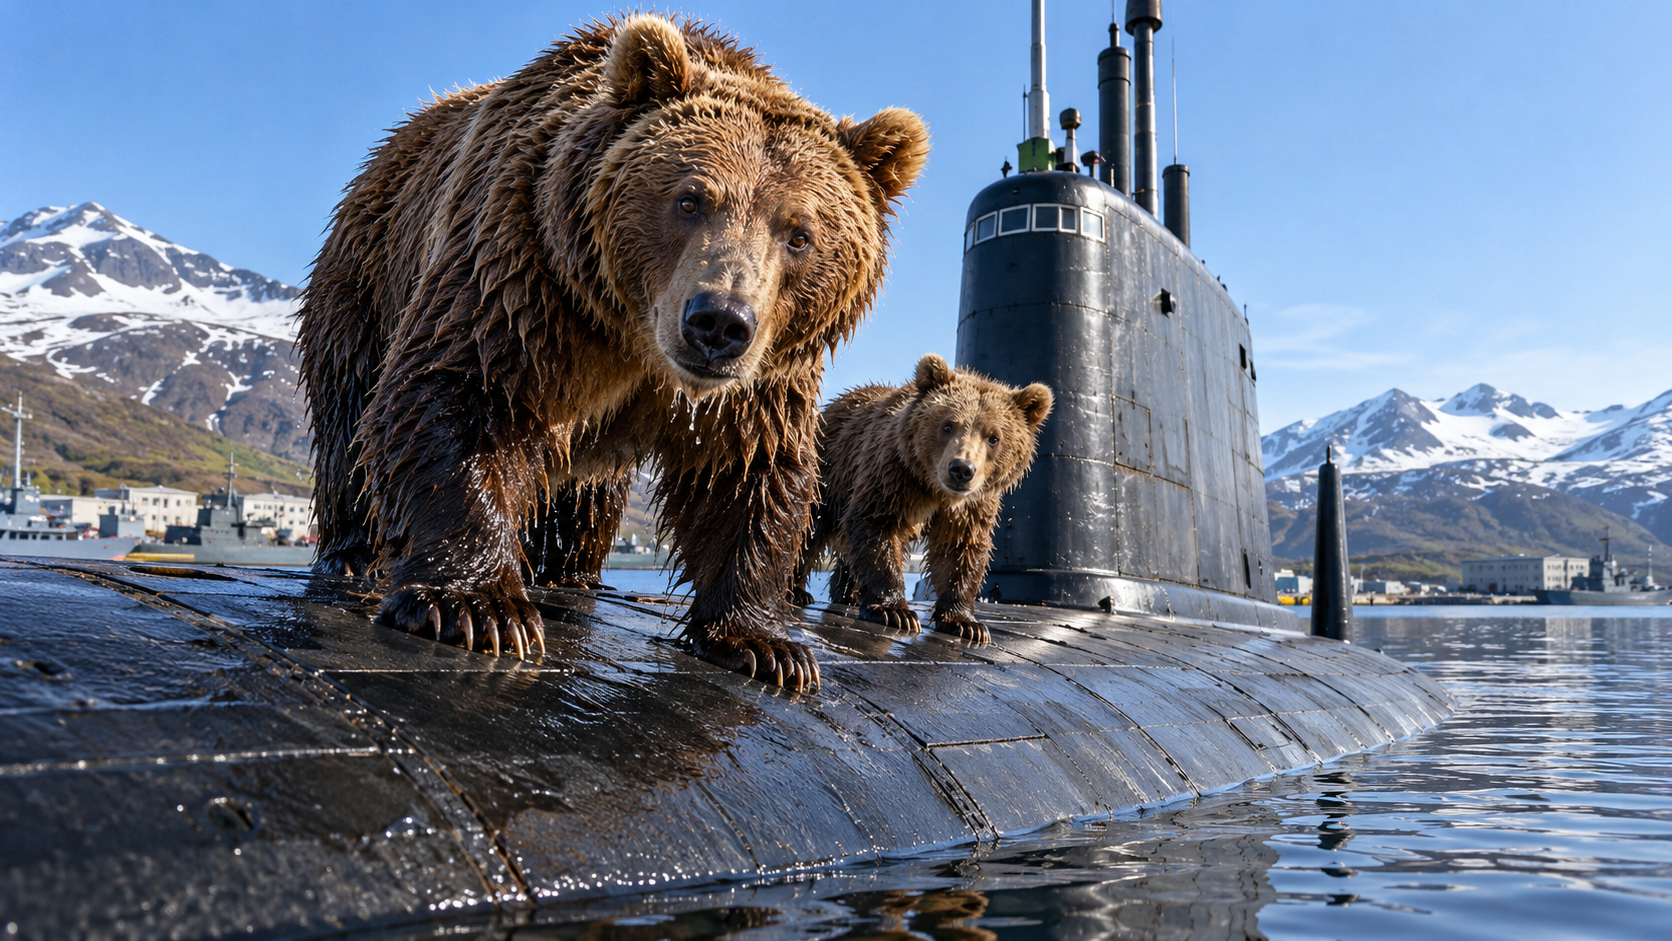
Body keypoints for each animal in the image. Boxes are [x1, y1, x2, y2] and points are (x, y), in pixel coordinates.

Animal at [296, 14, 929, 691]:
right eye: (690, 199)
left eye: (800, 234)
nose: (717, 322)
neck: (636, 339)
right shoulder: (527, 273)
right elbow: (462, 392)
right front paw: (477, 606)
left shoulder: (763, 371)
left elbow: (747, 471)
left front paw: (765, 644)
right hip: (367, 273)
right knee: (348, 413)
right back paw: (351, 553)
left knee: (589, 494)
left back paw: (572, 573)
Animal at [793, 354, 1052, 644]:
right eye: (948, 425)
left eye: (994, 437)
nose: (961, 469)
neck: (936, 491)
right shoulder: (894, 475)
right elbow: (877, 526)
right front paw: (895, 611)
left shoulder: (971, 506)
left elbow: (959, 551)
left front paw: (966, 623)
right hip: (827, 473)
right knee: (809, 527)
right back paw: (798, 591)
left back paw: (849, 594)